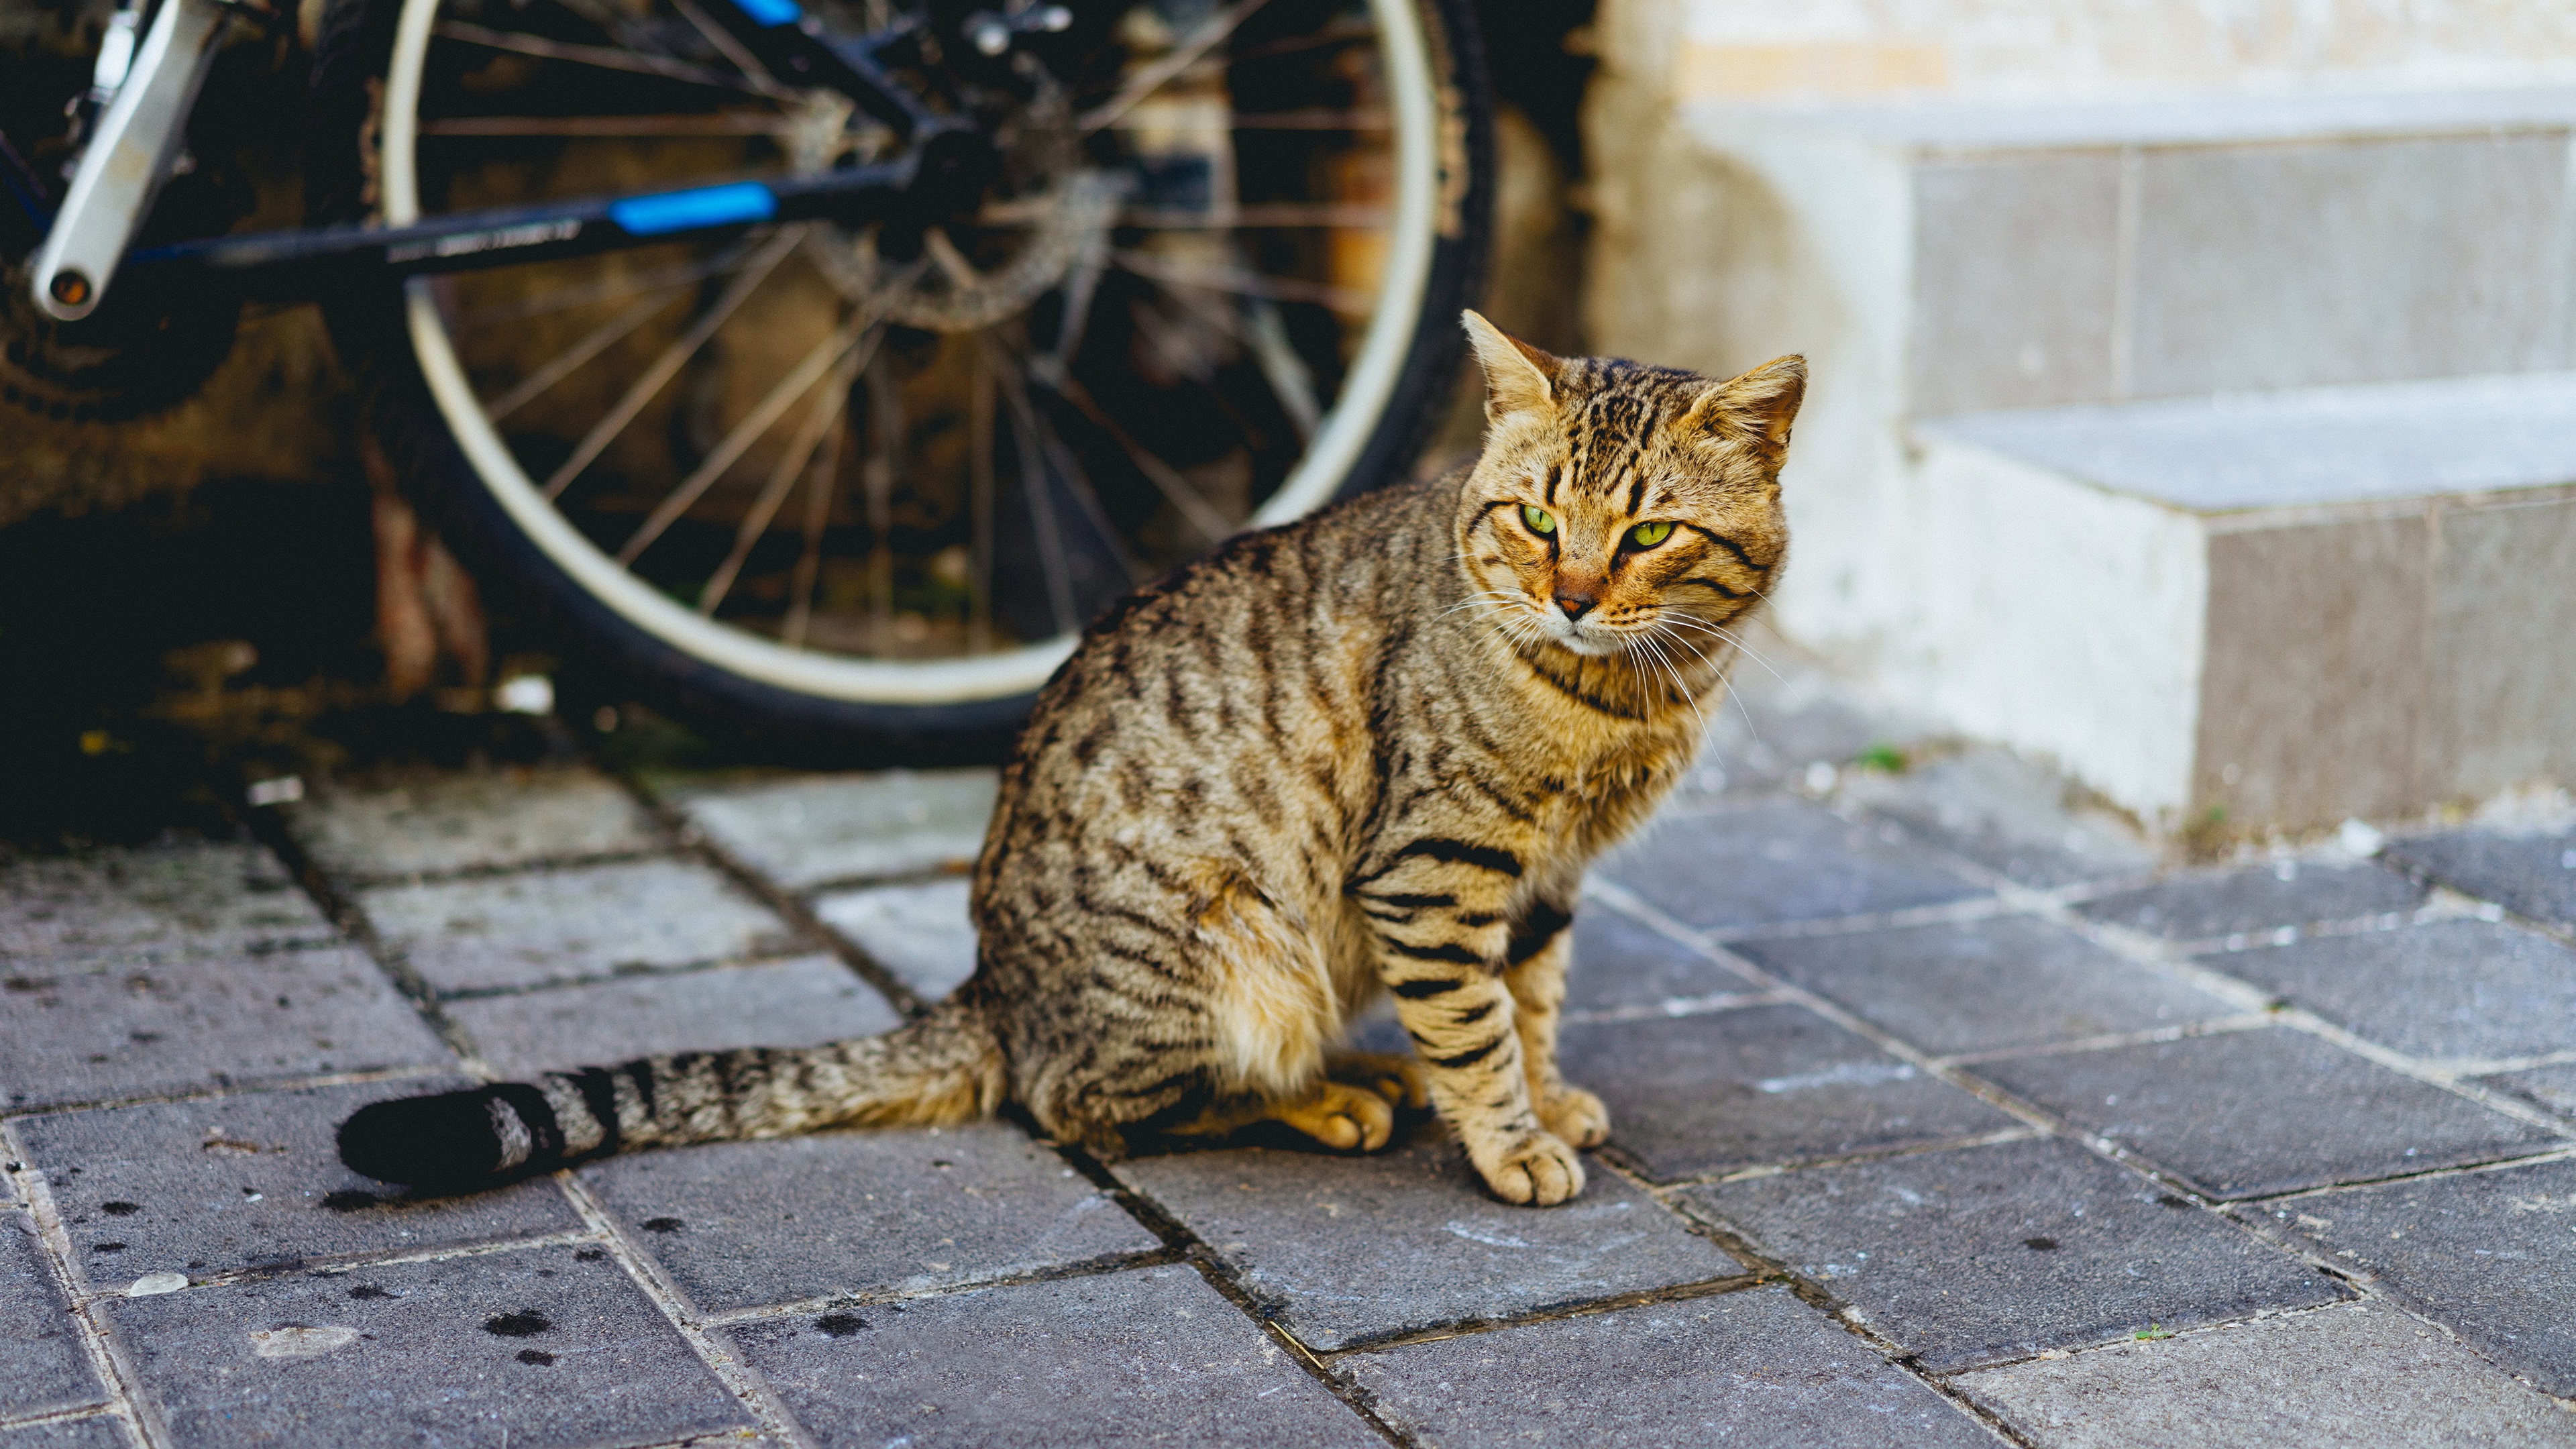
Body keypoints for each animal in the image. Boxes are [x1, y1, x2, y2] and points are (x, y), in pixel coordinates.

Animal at [337, 315, 1792, 1206]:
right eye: (1539, 519)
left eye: (1649, 534)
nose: (1574, 596)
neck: (1627, 694)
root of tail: (993, 984)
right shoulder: (1440, 865)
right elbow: (1477, 1020)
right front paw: (1509, 1140)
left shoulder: (1544, 873)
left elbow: (1530, 998)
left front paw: (1548, 1099)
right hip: (1229, 953)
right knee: (1088, 1104)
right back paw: (1332, 1097)